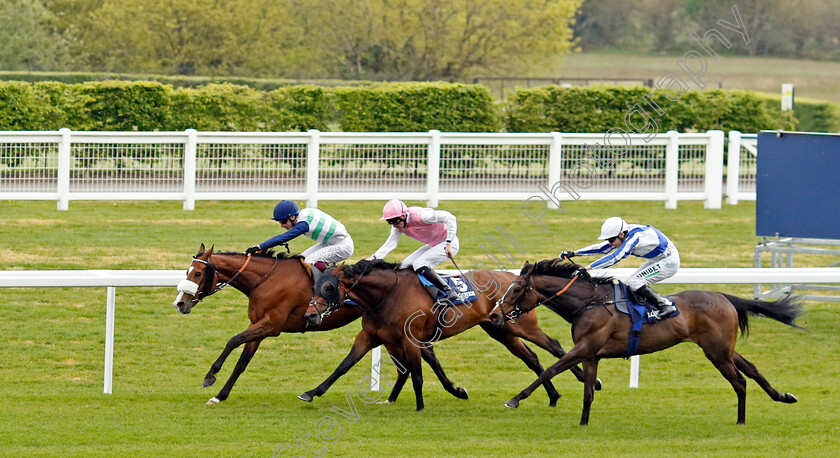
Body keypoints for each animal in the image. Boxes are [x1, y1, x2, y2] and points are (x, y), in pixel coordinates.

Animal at [172, 243, 362, 404]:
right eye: (187, 271)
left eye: (198, 273)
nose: (180, 303)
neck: (267, 279)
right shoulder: (257, 324)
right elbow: (241, 363)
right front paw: (219, 396)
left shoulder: (271, 325)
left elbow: (232, 341)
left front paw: (210, 376)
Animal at [298, 260, 592, 414]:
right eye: (314, 287)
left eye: (329, 287)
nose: (310, 315)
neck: (388, 295)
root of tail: (514, 279)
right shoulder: (371, 336)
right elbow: (343, 366)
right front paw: (312, 392)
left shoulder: (410, 339)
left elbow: (417, 373)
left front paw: (420, 407)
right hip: (500, 330)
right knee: (531, 358)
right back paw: (552, 396)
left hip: (521, 326)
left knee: (553, 346)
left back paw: (588, 380)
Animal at [488, 260, 804, 424]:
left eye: (515, 288)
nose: (494, 315)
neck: (589, 304)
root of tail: (724, 296)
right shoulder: (591, 355)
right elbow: (588, 391)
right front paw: (584, 422)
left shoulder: (584, 348)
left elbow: (551, 370)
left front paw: (515, 399)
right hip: (723, 348)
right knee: (752, 368)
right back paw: (783, 396)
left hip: (717, 353)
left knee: (740, 381)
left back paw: (741, 420)